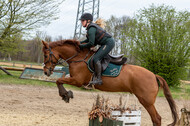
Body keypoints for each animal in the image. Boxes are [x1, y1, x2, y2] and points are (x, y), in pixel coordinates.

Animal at [41, 39, 178, 126]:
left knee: (157, 118)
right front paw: (66, 94)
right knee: (155, 119)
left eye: (46, 55)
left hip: (146, 101)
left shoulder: (77, 80)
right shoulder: (75, 79)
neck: (78, 58)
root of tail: (154, 75)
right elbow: (59, 80)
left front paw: (65, 95)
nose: (46, 72)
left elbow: (58, 80)